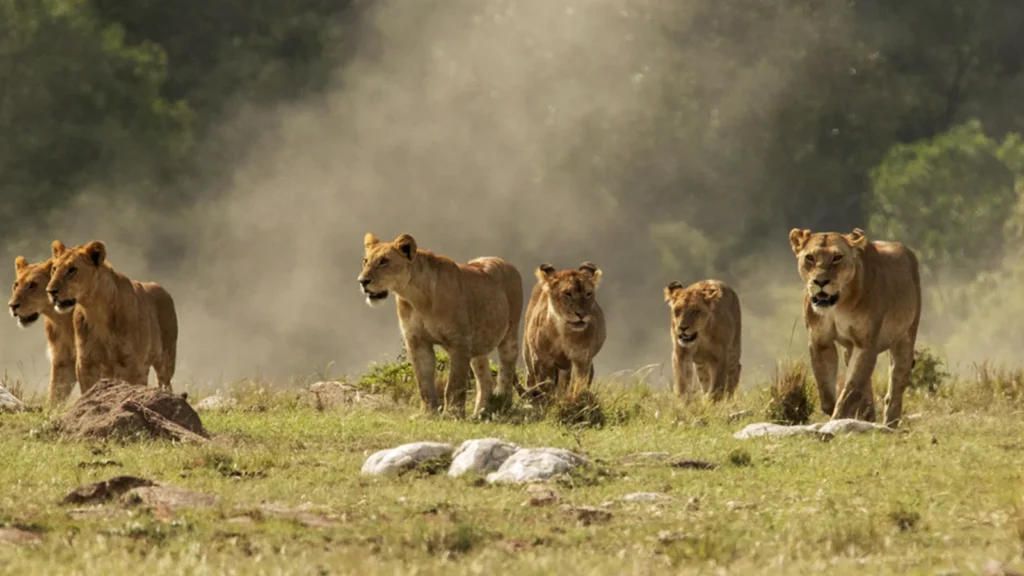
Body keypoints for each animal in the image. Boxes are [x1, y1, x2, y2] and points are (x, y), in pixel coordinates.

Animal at [8, 255, 78, 405]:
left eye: (33, 285)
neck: (61, 319)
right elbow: (55, 395)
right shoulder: (63, 360)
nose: (12, 305)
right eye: (16, 285)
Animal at [46, 240, 179, 393]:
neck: (96, 310)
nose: (50, 291)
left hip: (166, 359)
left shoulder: (133, 365)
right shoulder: (86, 363)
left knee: (165, 382)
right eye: (54, 269)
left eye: (72, 270)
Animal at [357, 233, 524, 418]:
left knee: (506, 370)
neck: (416, 298)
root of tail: (506, 262)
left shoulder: (459, 342)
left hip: (509, 335)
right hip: (478, 345)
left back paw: (502, 406)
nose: (362, 281)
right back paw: (480, 413)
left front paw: (453, 414)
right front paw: (427, 413)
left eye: (384, 261)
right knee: (486, 380)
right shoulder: (417, 341)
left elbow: (454, 385)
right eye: (365, 261)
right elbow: (423, 381)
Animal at [522, 262, 607, 401]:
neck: (563, 332)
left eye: (588, 293)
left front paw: (575, 400)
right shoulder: (541, 359)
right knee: (531, 377)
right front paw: (547, 400)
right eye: (568, 294)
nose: (581, 314)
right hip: (528, 353)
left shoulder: (582, 359)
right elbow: (545, 385)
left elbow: (579, 384)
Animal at [788, 227, 921, 428]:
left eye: (837, 257)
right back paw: (868, 417)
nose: (820, 281)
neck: (837, 305)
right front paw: (839, 412)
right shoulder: (820, 342)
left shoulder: (866, 344)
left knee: (895, 387)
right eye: (810, 257)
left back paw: (889, 423)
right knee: (865, 386)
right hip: (849, 349)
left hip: (905, 340)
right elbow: (827, 392)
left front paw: (837, 420)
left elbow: (850, 391)